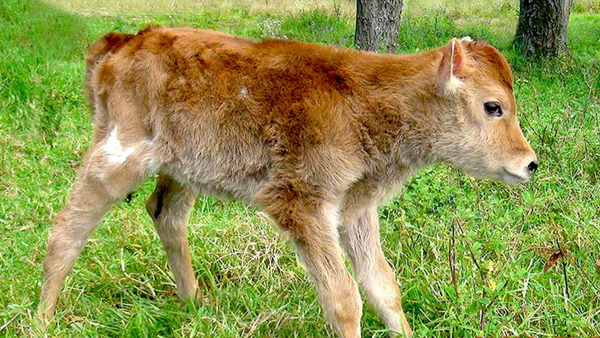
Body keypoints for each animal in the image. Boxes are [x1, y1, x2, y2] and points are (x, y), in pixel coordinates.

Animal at [37, 25, 536, 336]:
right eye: (493, 106)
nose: (529, 164)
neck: (364, 101)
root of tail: (125, 41)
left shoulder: (356, 208)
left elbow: (383, 287)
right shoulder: (303, 205)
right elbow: (344, 298)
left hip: (182, 170)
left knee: (165, 215)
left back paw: (194, 305)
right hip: (116, 157)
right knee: (66, 230)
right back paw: (42, 320)